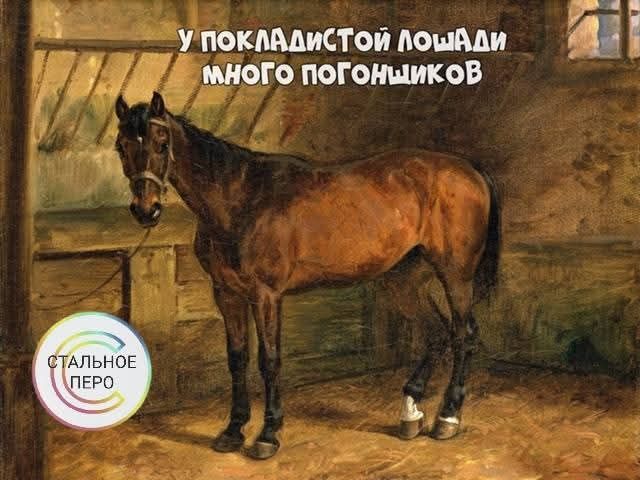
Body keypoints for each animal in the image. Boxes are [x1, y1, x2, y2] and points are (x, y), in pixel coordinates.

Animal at [114, 92, 501, 460]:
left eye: (162, 142)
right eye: (121, 146)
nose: (146, 210)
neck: (242, 200)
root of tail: (471, 171)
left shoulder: (266, 295)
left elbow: (269, 360)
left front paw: (268, 435)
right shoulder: (226, 293)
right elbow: (237, 359)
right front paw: (233, 430)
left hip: (455, 275)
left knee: (463, 334)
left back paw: (448, 417)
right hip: (402, 278)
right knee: (435, 332)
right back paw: (410, 413)